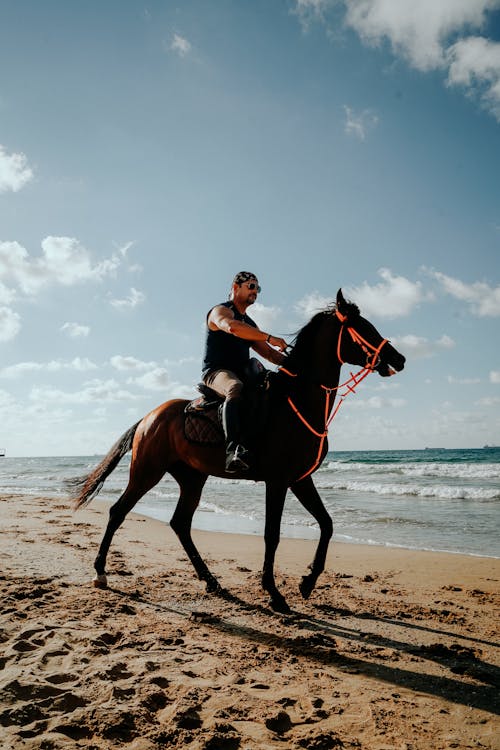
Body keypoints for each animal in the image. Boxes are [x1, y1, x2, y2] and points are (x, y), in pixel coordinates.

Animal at [68, 290, 406, 612]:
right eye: (362, 327)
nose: (399, 358)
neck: (296, 401)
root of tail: (149, 417)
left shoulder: (300, 479)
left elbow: (327, 524)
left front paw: (307, 582)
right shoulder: (278, 481)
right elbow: (272, 534)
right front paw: (275, 595)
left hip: (192, 478)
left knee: (180, 523)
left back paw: (212, 582)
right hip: (146, 472)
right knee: (118, 511)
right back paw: (101, 572)